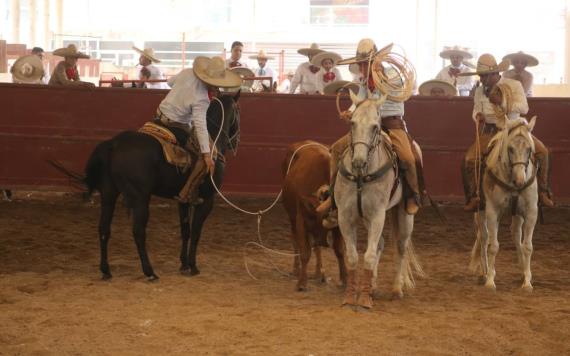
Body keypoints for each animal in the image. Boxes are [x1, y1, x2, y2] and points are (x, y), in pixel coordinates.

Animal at [51, 92, 240, 280]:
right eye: (238, 111)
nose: (236, 141)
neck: (213, 140)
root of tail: (113, 143)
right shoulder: (207, 200)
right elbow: (195, 232)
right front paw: (193, 266)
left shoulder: (183, 200)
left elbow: (185, 230)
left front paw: (184, 264)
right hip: (140, 198)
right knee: (138, 231)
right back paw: (149, 271)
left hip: (109, 194)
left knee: (104, 229)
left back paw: (106, 270)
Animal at [332, 89, 422, 308]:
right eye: (352, 123)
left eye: (375, 126)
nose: (358, 161)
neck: (360, 176)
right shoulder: (345, 217)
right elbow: (353, 257)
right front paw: (351, 296)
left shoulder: (377, 216)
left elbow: (369, 255)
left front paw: (364, 299)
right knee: (380, 243)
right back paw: (372, 285)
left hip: (404, 214)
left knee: (401, 245)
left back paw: (397, 289)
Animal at [470, 118, 536, 290]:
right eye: (510, 149)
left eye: (529, 149)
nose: (520, 181)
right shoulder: (492, 212)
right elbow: (493, 246)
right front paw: (490, 281)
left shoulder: (531, 212)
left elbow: (527, 246)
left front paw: (527, 281)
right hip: (480, 213)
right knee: (484, 238)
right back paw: (484, 272)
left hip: (517, 215)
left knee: (516, 235)